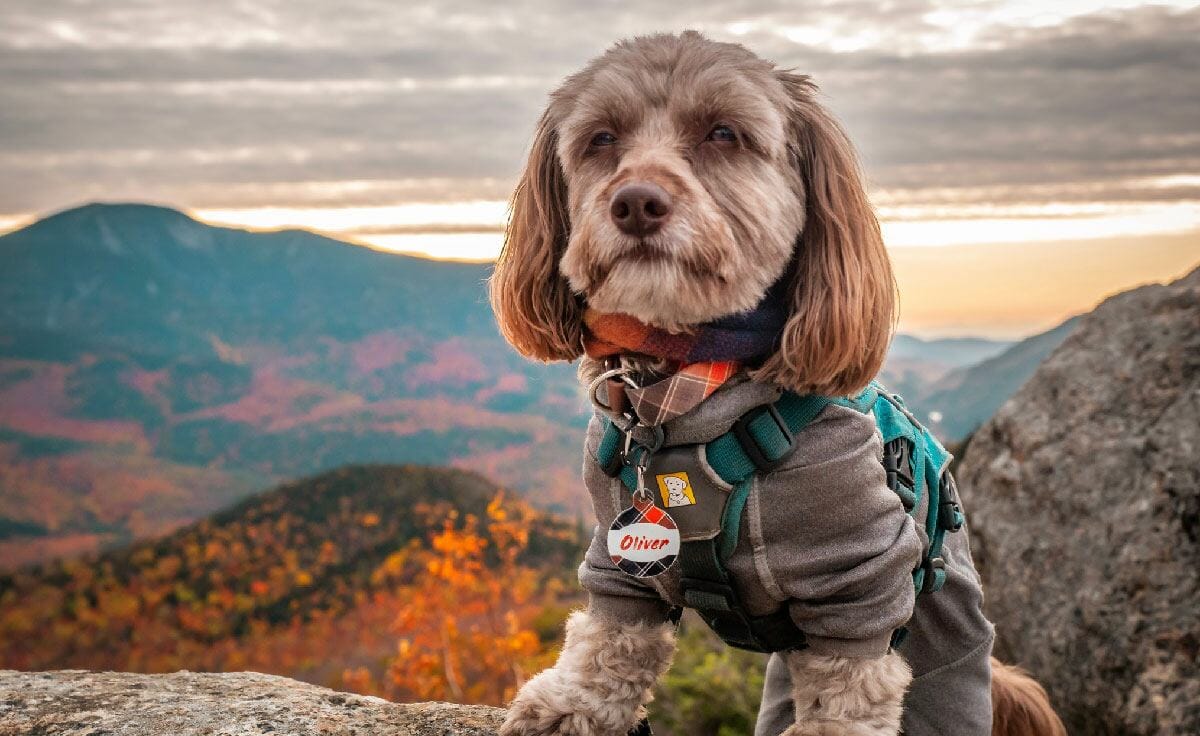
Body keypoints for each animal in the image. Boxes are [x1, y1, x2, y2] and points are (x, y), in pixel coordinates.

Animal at [484, 30, 1060, 734]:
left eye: (723, 133)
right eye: (601, 138)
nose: (636, 202)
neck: (686, 399)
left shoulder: (860, 580)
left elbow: (847, 697)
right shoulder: (619, 556)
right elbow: (611, 639)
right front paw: (573, 704)